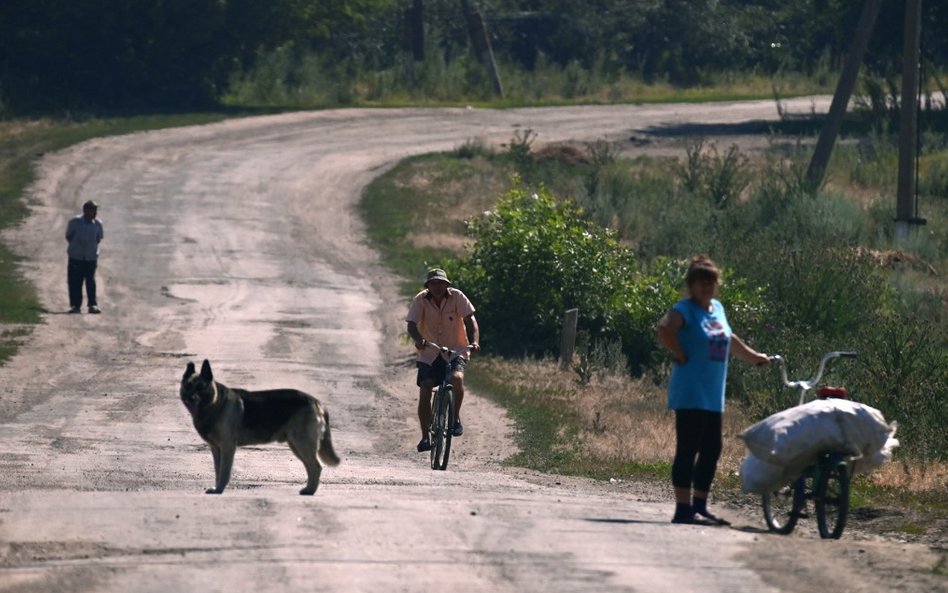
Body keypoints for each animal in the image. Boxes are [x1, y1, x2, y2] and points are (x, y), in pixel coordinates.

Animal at [180, 358, 338, 492]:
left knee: (316, 467)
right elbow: (217, 471)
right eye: (188, 386)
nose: (190, 398)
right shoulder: (216, 449)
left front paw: (219, 489)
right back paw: (309, 489)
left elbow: (224, 471)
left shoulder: (227, 447)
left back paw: (309, 491)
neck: (216, 404)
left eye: (201, 387)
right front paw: (216, 487)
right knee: (312, 468)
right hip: (296, 445)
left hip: (301, 443)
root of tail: (316, 401)